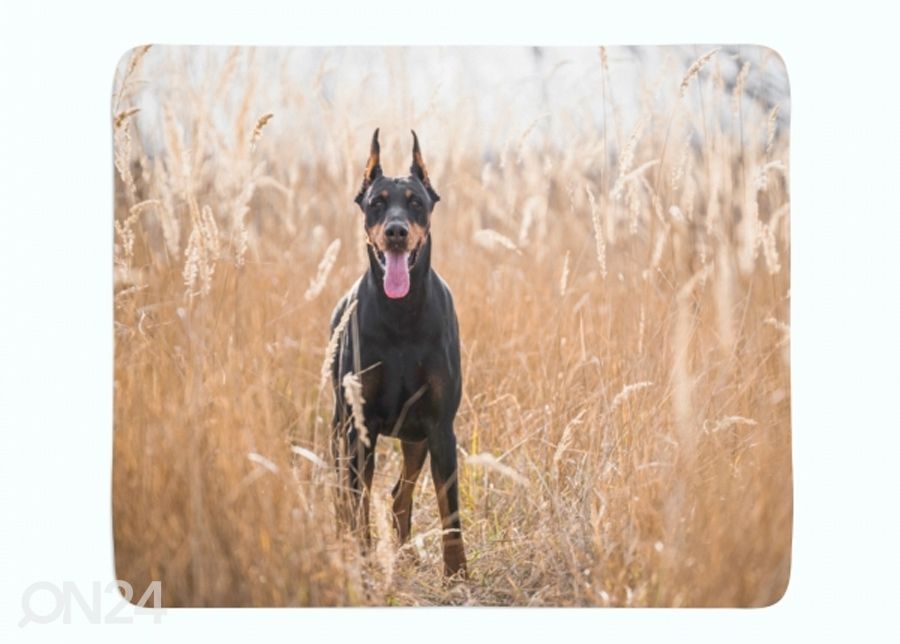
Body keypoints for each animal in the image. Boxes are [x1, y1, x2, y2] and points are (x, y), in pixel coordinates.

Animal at [326, 128, 468, 576]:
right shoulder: (359, 428)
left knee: (398, 497)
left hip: (415, 436)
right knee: (348, 495)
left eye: (416, 202)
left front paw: (457, 575)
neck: (401, 314)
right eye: (376, 202)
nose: (396, 231)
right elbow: (357, 505)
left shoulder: (440, 427)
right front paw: (363, 560)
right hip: (341, 428)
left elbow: (450, 510)